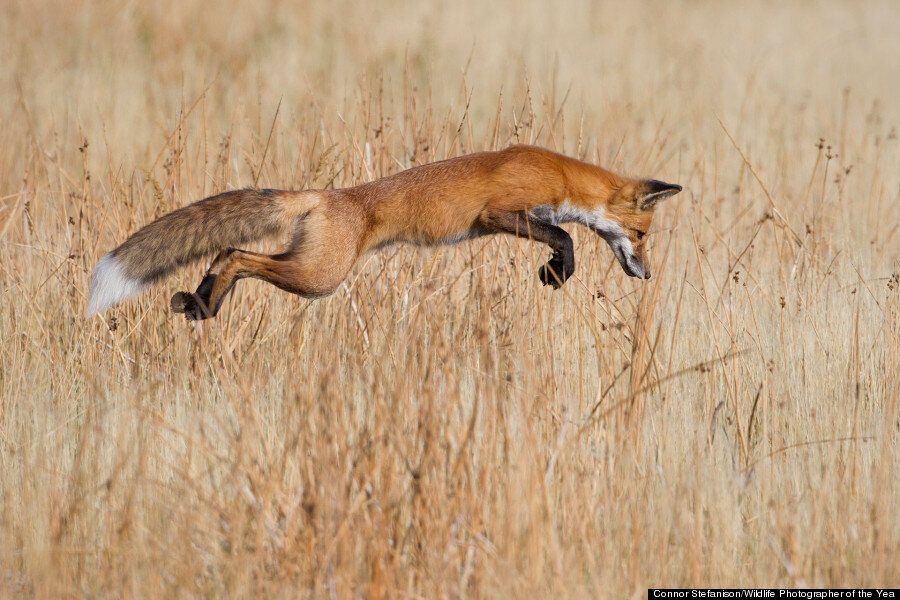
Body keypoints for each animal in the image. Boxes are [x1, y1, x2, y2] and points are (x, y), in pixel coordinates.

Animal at [89, 144, 684, 322]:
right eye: (642, 234)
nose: (647, 274)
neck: (559, 173)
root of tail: (327, 195)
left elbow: (565, 236)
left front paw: (556, 274)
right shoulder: (498, 214)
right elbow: (566, 237)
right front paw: (557, 273)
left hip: (308, 264)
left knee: (228, 252)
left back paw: (201, 303)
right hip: (320, 277)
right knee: (236, 254)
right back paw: (206, 303)